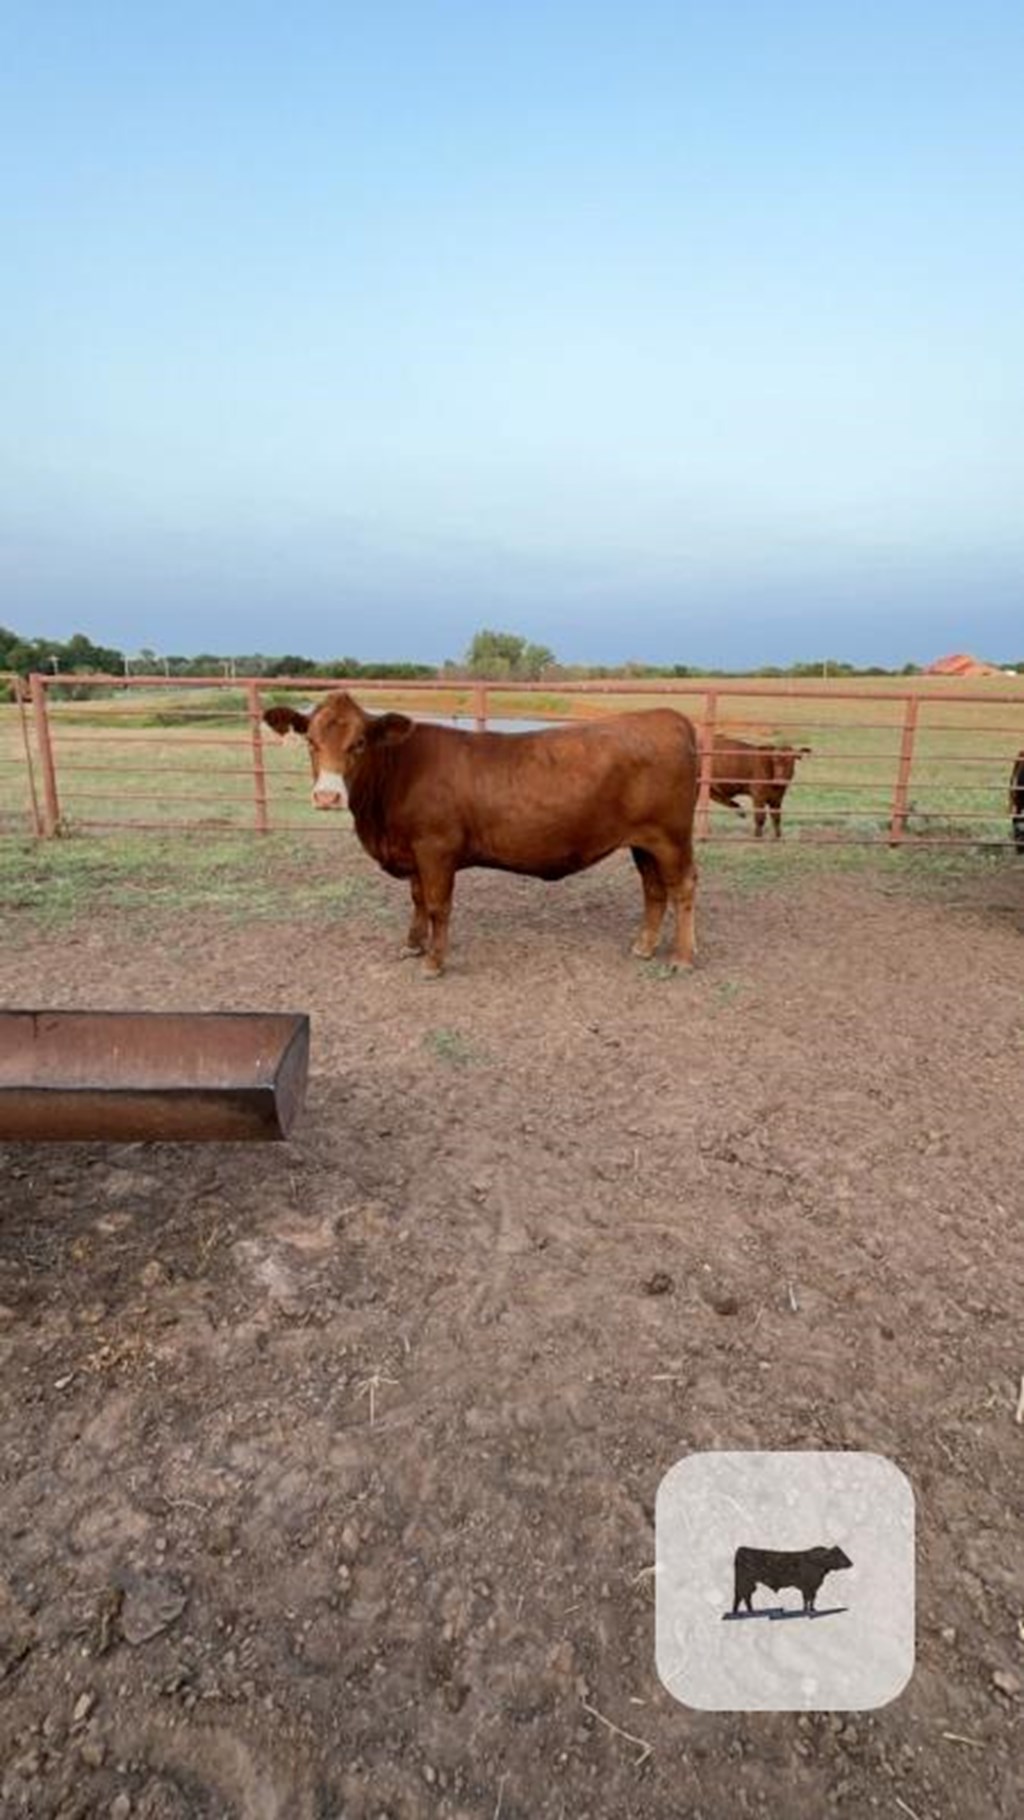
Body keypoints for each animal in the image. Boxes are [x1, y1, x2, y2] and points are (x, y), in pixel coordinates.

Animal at [263, 691, 702, 975]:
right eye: (310, 741)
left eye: (358, 743)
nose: (327, 796)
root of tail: (669, 717)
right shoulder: (414, 853)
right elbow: (417, 899)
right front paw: (412, 945)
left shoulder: (435, 849)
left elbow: (437, 905)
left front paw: (433, 962)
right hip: (643, 842)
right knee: (653, 889)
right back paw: (643, 946)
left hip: (671, 838)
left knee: (682, 888)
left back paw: (682, 958)